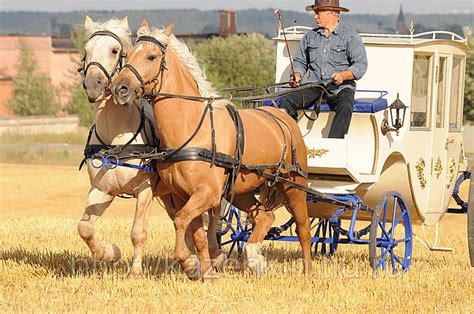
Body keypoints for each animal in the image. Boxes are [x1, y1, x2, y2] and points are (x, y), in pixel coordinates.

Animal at [76, 15, 222, 278]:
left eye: (115, 50)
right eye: (86, 49)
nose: (93, 84)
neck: (116, 138)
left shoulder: (144, 190)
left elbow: (138, 232)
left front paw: (135, 272)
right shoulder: (101, 190)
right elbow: (85, 228)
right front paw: (110, 253)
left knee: (214, 217)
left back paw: (214, 256)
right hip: (171, 195)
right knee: (183, 222)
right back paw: (191, 262)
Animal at [109, 22, 312, 278]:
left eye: (151, 56)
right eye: (127, 55)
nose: (119, 88)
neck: (192, 129)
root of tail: (282, 115)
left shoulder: (207, 194)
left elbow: (181, 221)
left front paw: (187, 261)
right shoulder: (184, 195)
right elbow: (196, 234)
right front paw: (206, 271)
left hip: (294, 185)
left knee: (303, 228)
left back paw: (306, 271)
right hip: (241, 190)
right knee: (264, 215)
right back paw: (255, 258)